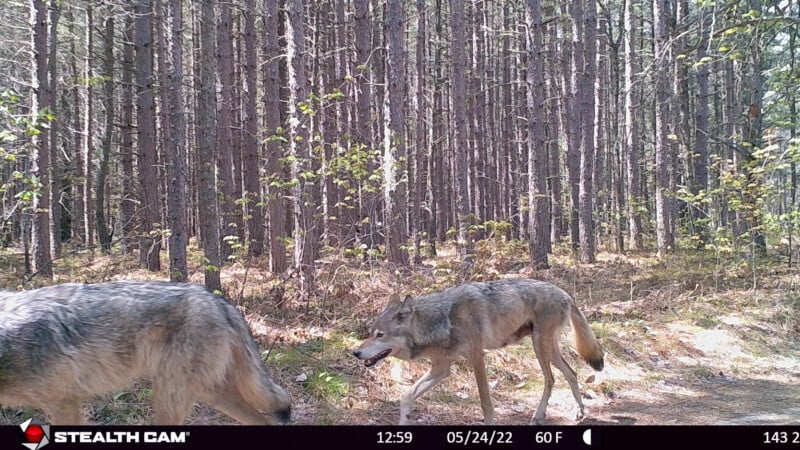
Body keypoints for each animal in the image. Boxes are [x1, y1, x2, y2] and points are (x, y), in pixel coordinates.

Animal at [352, 278, 604, 425]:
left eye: (380, 335)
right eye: (370, 333)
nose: (355, 352)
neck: (444, 321)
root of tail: (565, 292)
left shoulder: (476, 358)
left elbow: (485, 402)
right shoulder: (441, 369)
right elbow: (406, 396)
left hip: (539, 346)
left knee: (551, 378)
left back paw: (538, 415)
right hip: (547, 348)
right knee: (571, 373)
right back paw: (578, 413)